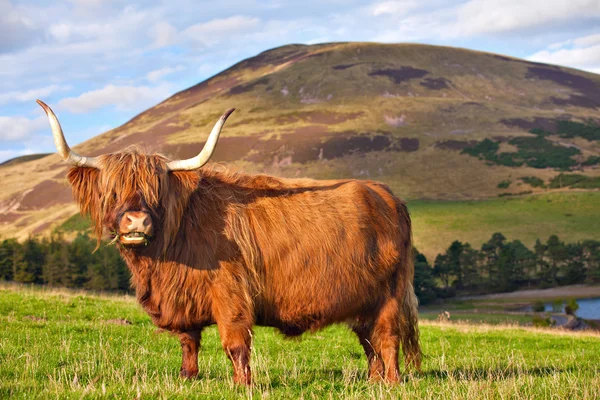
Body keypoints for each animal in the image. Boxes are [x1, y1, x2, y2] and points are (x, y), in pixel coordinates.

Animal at [37, 98, 422, 382]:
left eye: (156, 190)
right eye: (112, 191)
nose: (136, 221)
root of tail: (387, 195)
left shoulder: (231, 291)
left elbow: (235, 343)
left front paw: (242, 384)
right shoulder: (183, 298)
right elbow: (188, 341)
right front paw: (187, 377)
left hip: (390, 294)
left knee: (388, 339)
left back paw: (391, 383)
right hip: (363, 300)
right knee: (369, 340)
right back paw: (372, 381)